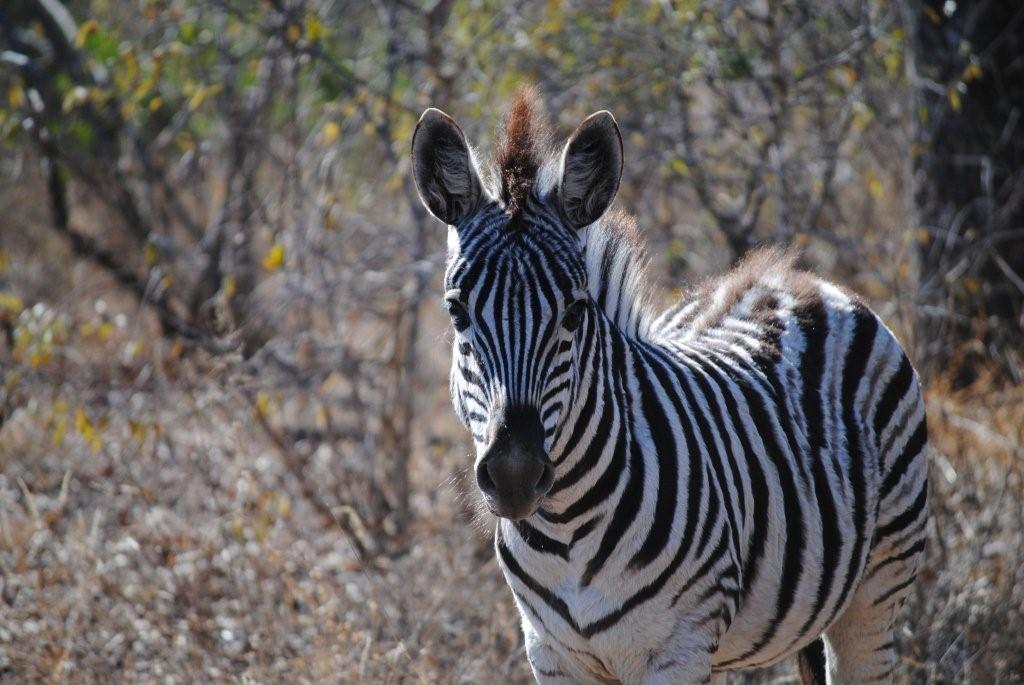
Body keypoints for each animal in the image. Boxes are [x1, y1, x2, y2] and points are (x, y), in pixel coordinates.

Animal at [407, 88, 929, 679]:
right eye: (456, 312)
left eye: (574, 313)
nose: (515, 475)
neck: (566, 532)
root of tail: (797, 280)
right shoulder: (551, 652)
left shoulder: (677, 649)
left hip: (879, 585)